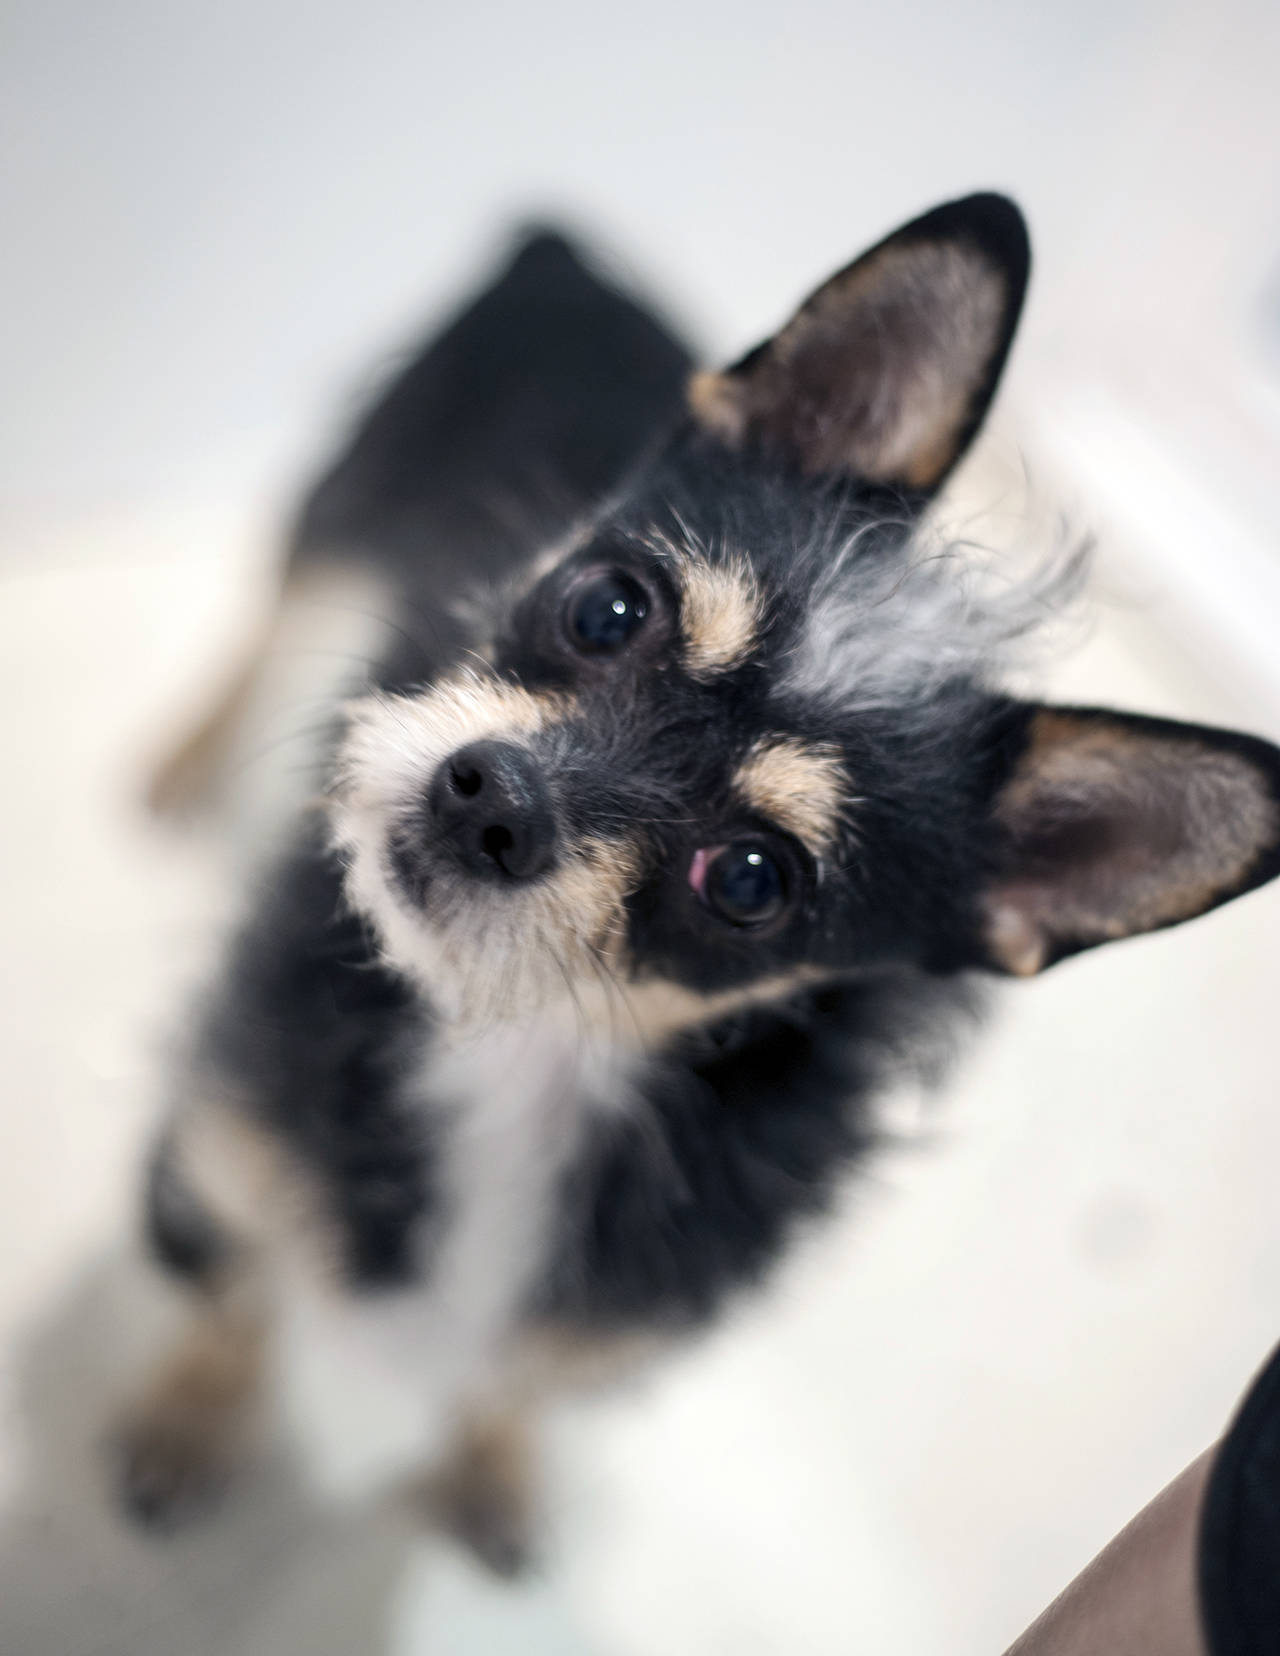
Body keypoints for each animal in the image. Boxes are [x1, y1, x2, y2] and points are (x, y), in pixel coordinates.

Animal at [117, 196, 1280, 1575]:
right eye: (608, 610)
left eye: (750, 880)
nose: (492, 799)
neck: (528, 1058)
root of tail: (570, 248)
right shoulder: (220, 1148)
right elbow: (235, 1301)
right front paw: (188, 1423)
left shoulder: (611, 1311)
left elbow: (510, 1378)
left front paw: (492, 1470)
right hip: (343, 502)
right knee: (266, 607)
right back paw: (181, 763)